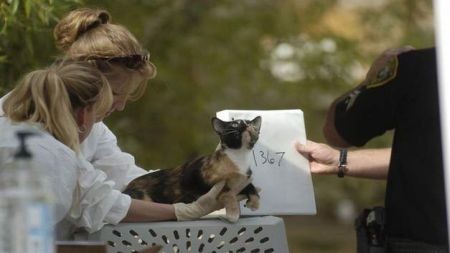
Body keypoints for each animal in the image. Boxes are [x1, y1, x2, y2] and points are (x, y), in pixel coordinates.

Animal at [124, 116, 264, 221]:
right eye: (235, 124)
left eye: (250, 123)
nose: (247, 125)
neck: (239, 156)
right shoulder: (203, 181)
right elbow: (227, 191)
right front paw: (233, 213)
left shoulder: (244, 180)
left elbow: (251, 187)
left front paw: (254, 203)